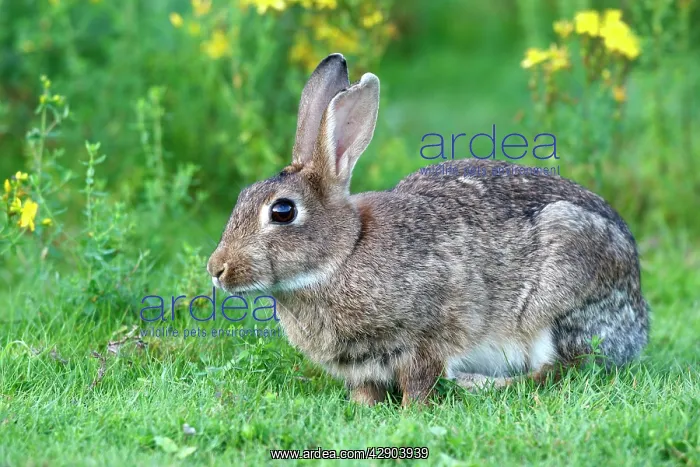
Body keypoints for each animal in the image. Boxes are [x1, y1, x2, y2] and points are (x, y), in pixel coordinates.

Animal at [207, 53, 650, 406]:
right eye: (242, 197)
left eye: (282, 211)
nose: (217, 269)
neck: (345, 252)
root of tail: (639, 322)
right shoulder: (361, 367)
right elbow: (366, 391)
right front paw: (363, 410)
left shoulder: (427, 338)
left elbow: (420, 381)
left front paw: (411, 411)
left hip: (560, 296)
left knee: (560, 370)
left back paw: (479, 384)